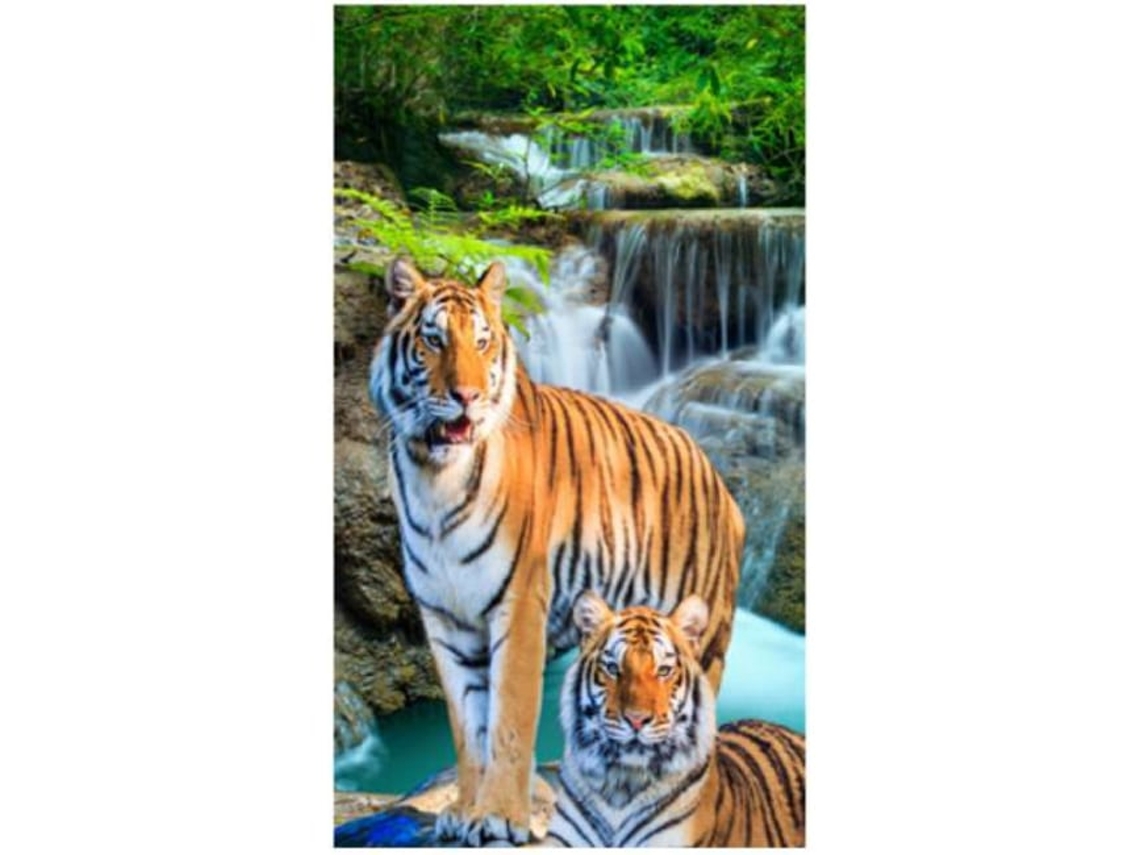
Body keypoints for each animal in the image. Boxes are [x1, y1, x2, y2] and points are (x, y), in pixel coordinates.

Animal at [369, 258, 744, 845]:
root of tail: (716, 474)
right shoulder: (445, 621)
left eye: (481, 342)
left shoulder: (520, 605)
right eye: (433, 340)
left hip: (703, 638)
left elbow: (509, 718)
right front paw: (464, 810)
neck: (435, 477)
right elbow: (467, 724)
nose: (467, 396)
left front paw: (499, 816)